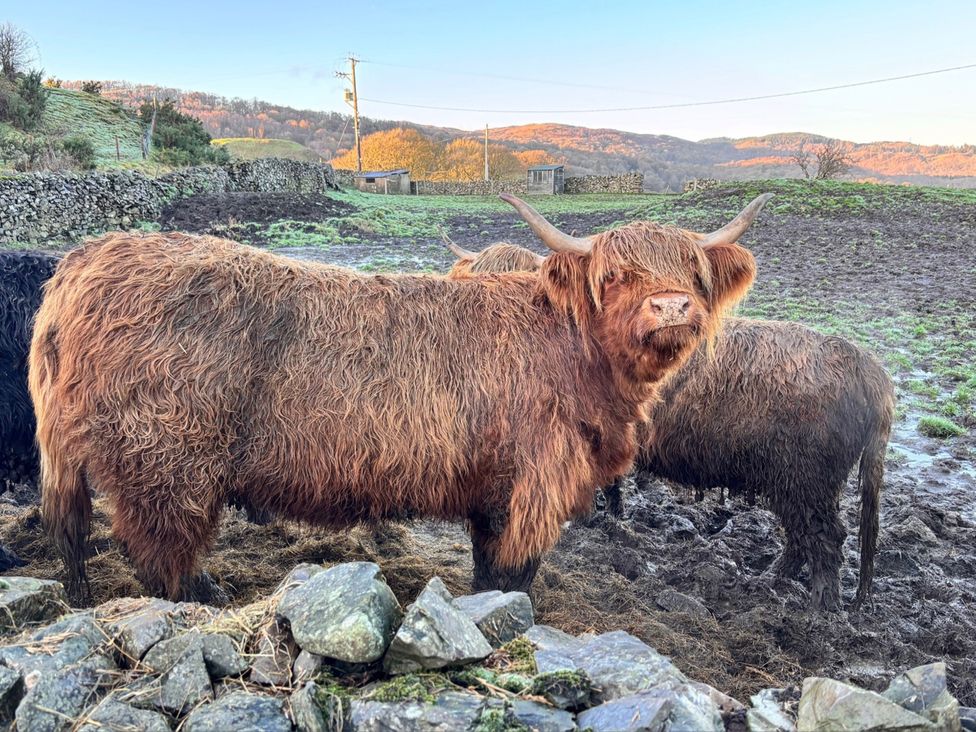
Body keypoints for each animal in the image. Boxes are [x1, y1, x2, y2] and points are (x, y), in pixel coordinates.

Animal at [31, 192, 770, 602]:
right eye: (615, 275)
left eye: (694, 274)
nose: (671, 306)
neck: (575, 351)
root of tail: (83, 261)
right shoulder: (536, 481)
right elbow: (516, 571)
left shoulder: (493, 487)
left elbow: (490, 566)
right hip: (167, 461)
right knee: (159, 550)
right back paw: (207, 594)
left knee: (84, 533)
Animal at [445, 240, 895, 610]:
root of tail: (864, 362)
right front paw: (613, 515)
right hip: (793, 482)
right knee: (804, 538)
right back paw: (771, 579)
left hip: (807, 479)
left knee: (826, 538)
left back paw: (821, 610)